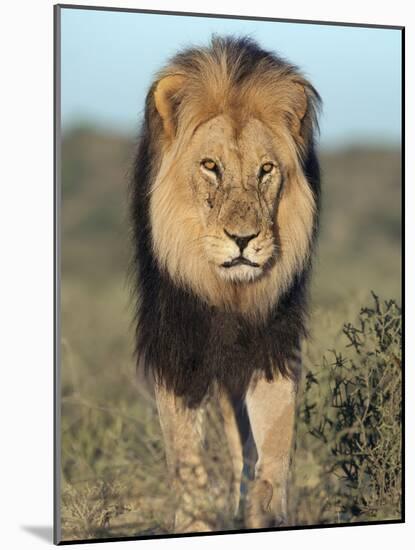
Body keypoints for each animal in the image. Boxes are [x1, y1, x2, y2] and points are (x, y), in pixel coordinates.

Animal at [130, 36, 322, 536]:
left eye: (266, 170)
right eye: (210, 166)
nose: (242, 239)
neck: (228, 292)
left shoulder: (273, 343)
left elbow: (273, 444)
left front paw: (268, 515)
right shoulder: (178, 345)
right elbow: (185, 452)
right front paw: (194, 521)